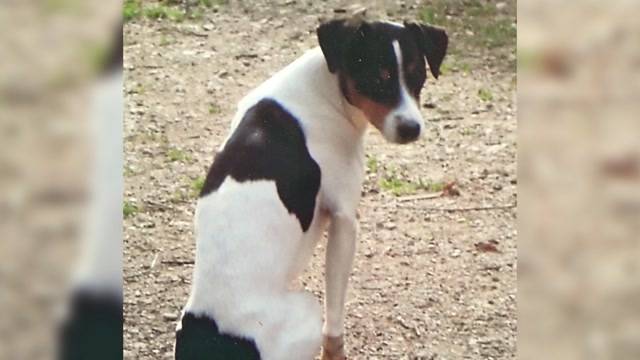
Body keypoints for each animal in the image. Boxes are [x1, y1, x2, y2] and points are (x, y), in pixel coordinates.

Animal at [172, 17, 448, 360]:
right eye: (377, 76)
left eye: (417, 75)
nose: (411, 129)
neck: (324, 90)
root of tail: (210, 340)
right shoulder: (344, 220)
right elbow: (335, 316)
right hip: (306, 308)